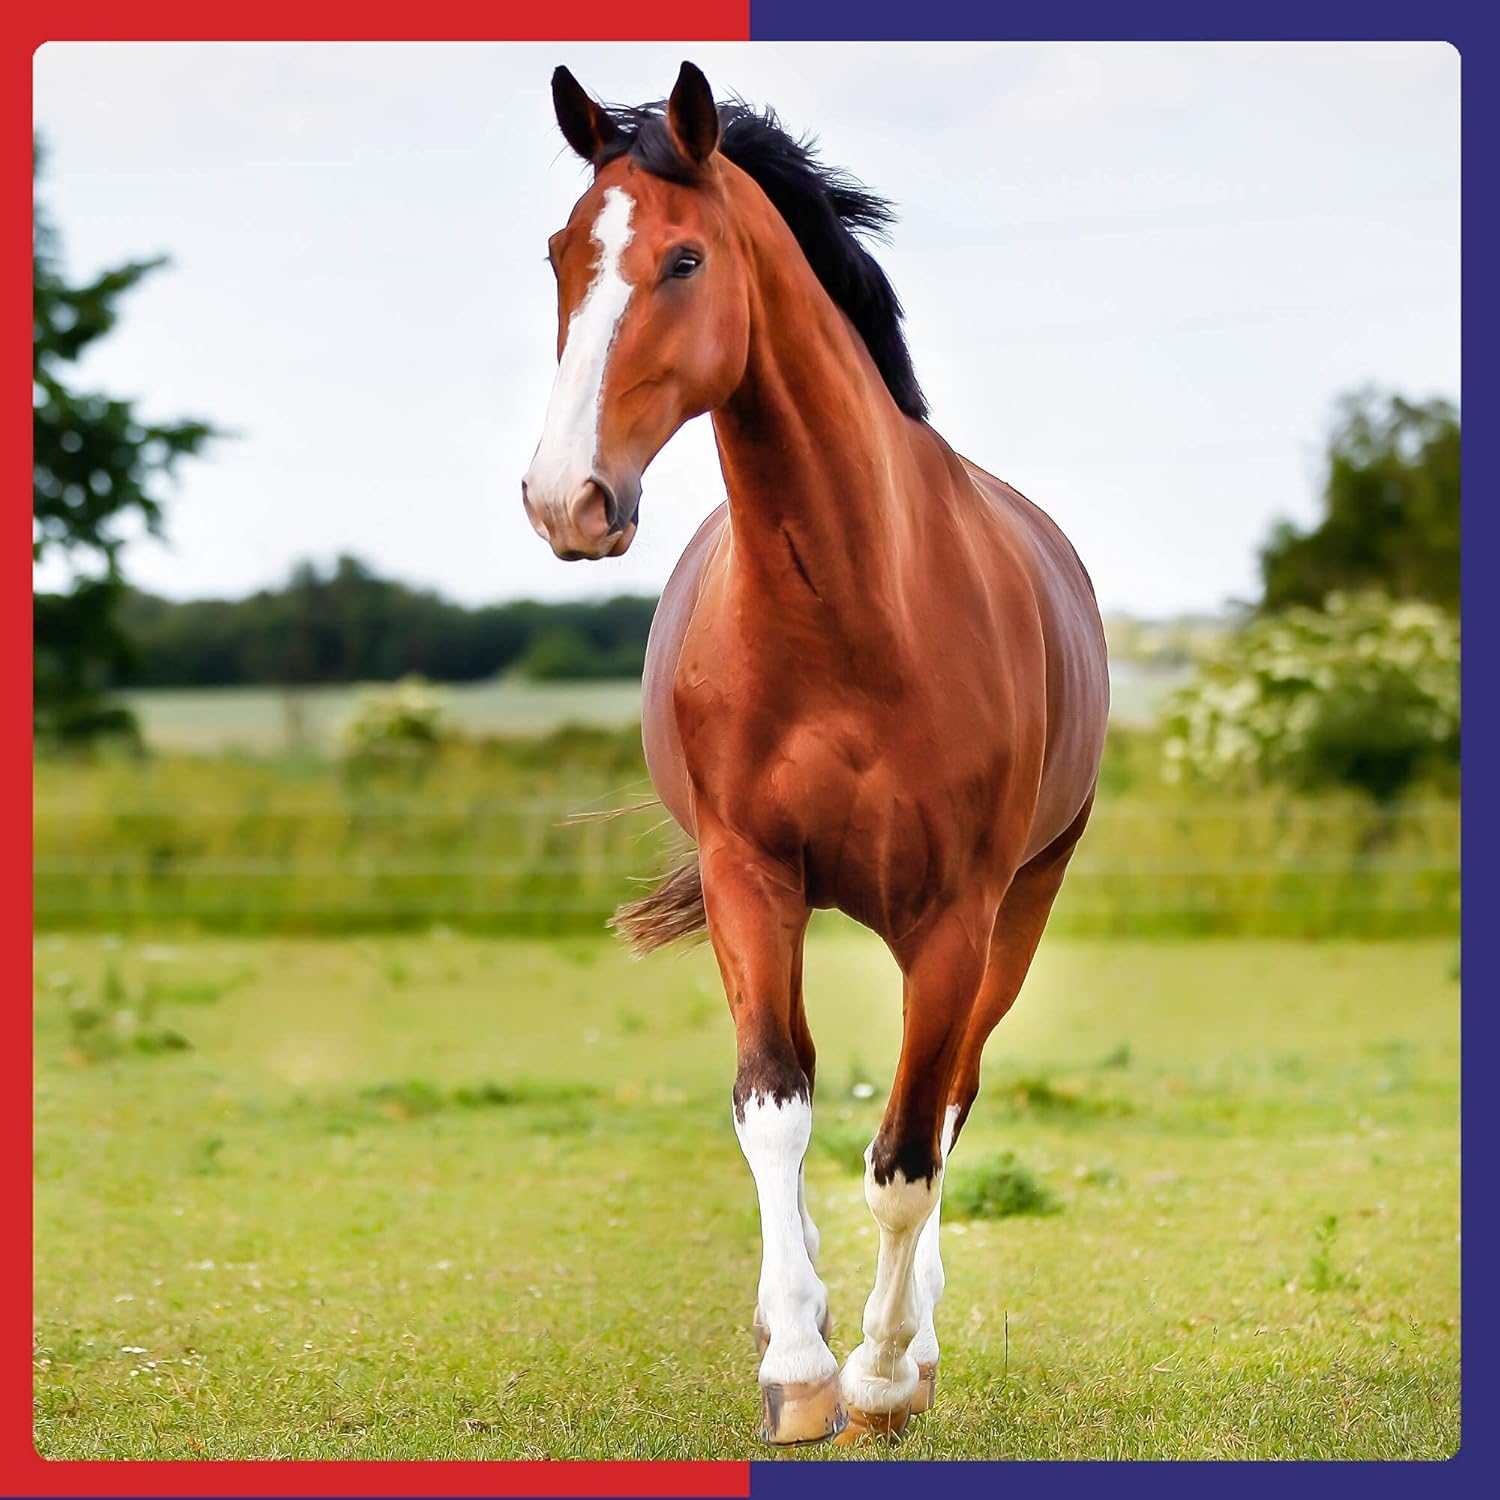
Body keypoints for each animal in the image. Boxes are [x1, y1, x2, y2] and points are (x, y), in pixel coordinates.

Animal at [522, 61, 1110, 1446]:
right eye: (563, 254)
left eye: (684, 259)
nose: (567, 498)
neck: (849, 609)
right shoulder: (751, 876)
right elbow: (773, 1109)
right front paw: (798, 1364)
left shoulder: (957, 913)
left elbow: (906, 1156)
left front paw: (884, 1377)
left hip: (1014, 914)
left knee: (949, 1101)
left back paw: (915, 1342)